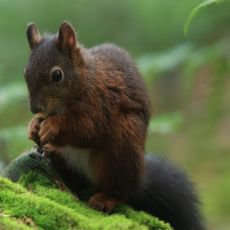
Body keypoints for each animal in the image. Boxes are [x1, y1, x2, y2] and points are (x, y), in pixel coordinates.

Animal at [24, 22, 204, 230]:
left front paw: (52, 126)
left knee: (121, 190)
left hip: (122, 147)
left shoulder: (102, 103)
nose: (34, 108)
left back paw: (106, 199)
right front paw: (33, 125)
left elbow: (87, 128)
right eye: (25, 73)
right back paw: (52, 152)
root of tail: (139, 180)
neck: (84, 79)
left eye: (57, 75)